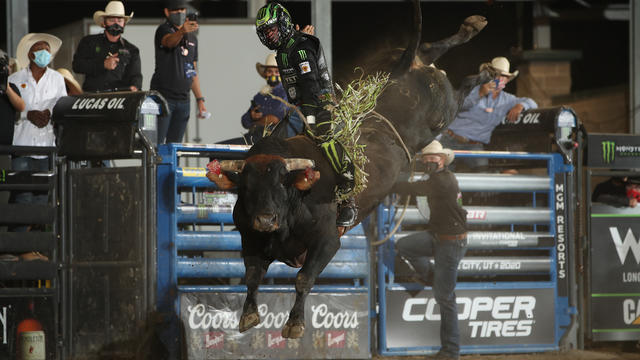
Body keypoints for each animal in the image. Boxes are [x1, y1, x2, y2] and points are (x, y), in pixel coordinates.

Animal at [208, 0, 492, 338]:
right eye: (247, 187)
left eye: (282, 183)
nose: (265, 219)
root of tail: (397, 75)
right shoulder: (251, 240)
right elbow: (252, 277)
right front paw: (249, 316)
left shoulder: (328, 241)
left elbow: (303, 279)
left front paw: (294, 325)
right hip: (419, 70)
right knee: (431, 48)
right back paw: (473, 32)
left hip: (441, 113)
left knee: (460, 89)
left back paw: (484, 71)